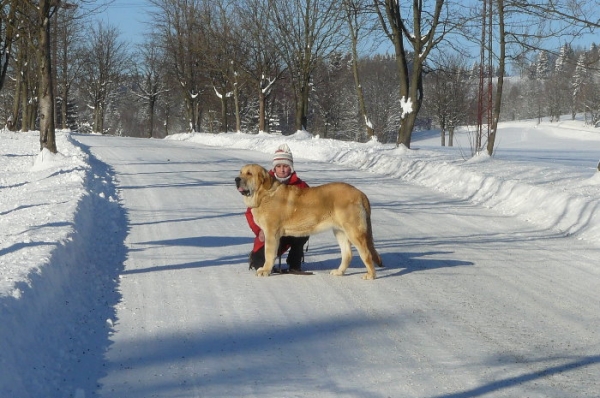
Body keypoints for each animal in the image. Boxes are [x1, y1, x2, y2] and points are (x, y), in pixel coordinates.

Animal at [237, 163, 382, 278]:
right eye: (240, 172)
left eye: (249, 173)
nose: (236, 179)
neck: (264, 195)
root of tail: (360, 193)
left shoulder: (272, 233)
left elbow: (268, 253)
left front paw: (265, 270)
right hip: (340, 231)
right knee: (347, 254)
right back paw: (339, 272)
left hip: (354, 232)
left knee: (366, 254)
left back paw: (370, 275)